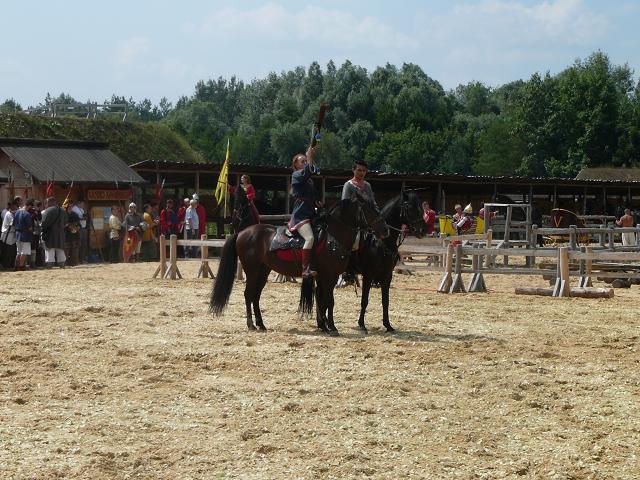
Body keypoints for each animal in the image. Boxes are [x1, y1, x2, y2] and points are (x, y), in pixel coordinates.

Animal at [211, 191, 390, 334]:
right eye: (370, 210)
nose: (386, 230)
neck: (332, 236)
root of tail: (242, 233)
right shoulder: (330, 275)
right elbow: (329, 300)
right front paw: (331, 327)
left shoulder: (322, 276)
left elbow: (322, 299)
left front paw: (323, 325)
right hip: (252, 270)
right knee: (248, 294)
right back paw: (251, 325)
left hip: (263, 270)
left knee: (256, 295)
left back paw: (261, 324)